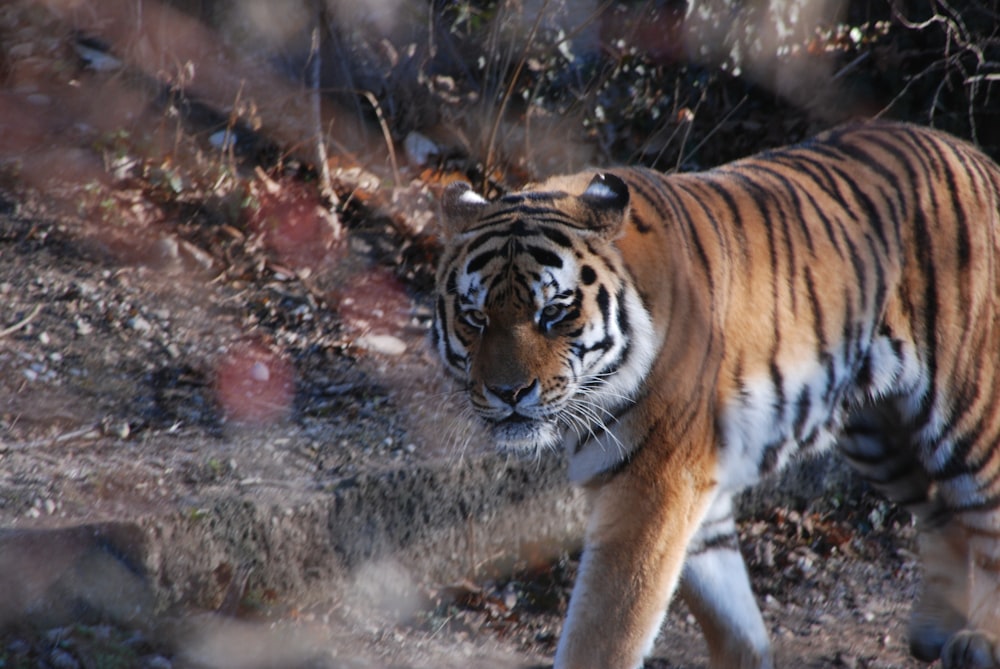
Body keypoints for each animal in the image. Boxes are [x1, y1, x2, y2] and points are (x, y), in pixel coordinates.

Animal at [434, 121, 1000, 668]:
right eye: (475, 317)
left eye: (552, 312)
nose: (508, 392)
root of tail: (977, 157)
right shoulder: (693, 492)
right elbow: (730, 617)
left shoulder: (652, 486)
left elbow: (604, 635)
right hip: (875, 434)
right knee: (939, 512)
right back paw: (933, 630)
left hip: (966, 413)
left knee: (984, 510)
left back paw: (979, 642)